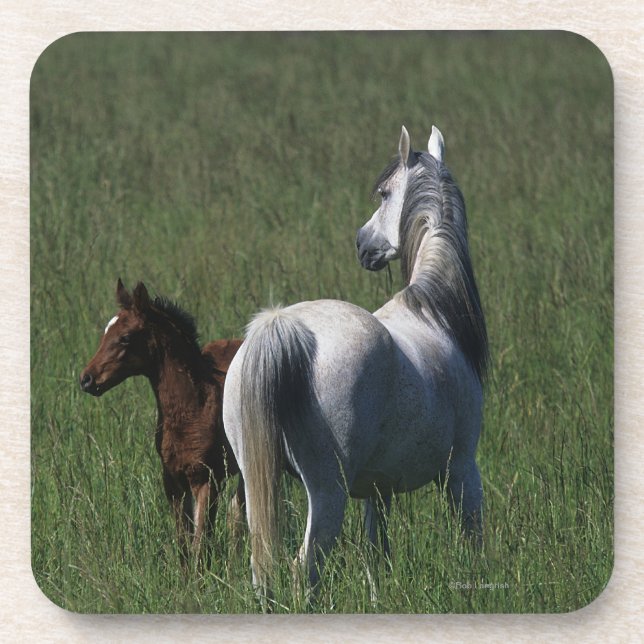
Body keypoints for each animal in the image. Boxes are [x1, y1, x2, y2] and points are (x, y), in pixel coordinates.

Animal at [80, 279, 245, 565]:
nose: (86, 379)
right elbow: (183, 545)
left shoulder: (207, 480)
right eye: (105, 332)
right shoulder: (173, 482)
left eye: (125, 337)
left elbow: (200, 545)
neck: (193, 409)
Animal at [222, 125, 488, 600]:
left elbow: (376, 559)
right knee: (303, 571)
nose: (362, 244)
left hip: (257, 484)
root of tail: (282, 327)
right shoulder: (462, 470)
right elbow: (473, 542)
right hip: (327, 493)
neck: (433, 312)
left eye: (383, 193)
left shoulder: (376, 491)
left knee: (262, 571)